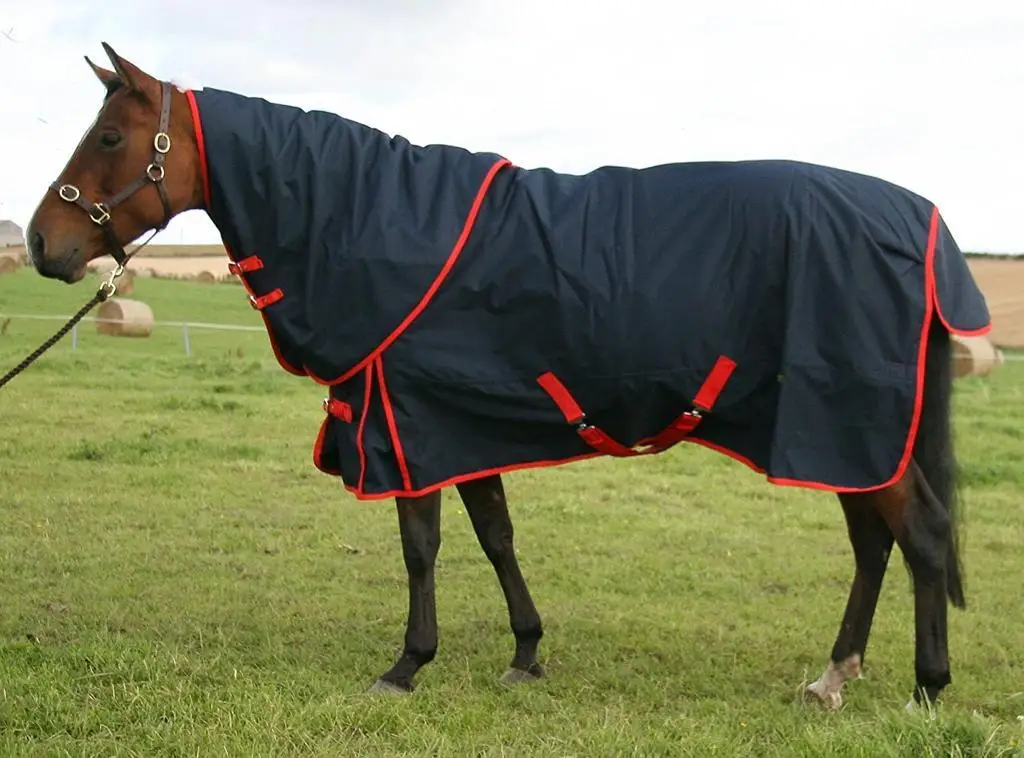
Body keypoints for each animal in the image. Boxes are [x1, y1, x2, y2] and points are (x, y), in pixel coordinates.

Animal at [24, 43, 992, 710]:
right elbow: (496, 535)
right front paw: (526, 651)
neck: (371, 221)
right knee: (874, 544)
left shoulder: (407, 424)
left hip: (851, 422)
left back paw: (927, 686)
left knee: (922, 537)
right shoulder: (458, 421)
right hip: (844, 434)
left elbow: (422, 548)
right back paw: (834, 676)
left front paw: (407, 664)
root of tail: (923, 221)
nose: (41, 243)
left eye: (108, 136)